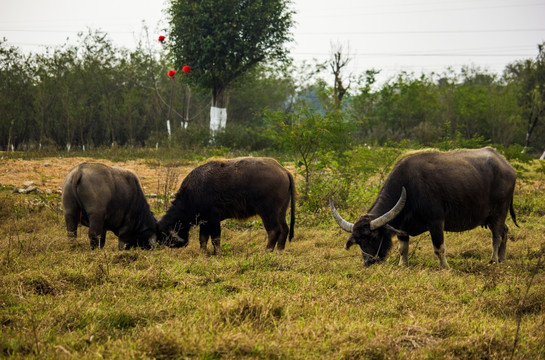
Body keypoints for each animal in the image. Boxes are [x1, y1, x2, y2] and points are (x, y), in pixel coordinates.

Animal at [155, 157, 296, 253]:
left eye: (166, 233)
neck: (190, 195)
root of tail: (283, 170)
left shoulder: (213, 220)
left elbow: (215, 239)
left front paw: (217, 253)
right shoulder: (205, 222)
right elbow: (203, 239)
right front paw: (203, 253)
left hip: (267, 213)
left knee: (274, 230)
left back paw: (267, 251)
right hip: (281, 212)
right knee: (285, 229)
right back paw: (279, 250)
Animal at [330, 146, 516, 268]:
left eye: (374, 237)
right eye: (358, 241)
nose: (369, 262)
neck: (409, 189)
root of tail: (507, 166)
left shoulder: (436, 222)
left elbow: (439, 248)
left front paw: (445, 267)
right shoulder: (402, 227)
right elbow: (402, 249)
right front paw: (403, 265)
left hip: (499, 211)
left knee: (496, 235)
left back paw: (493, 260)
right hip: (492, 216)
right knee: (505, 230)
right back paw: (503, 258)